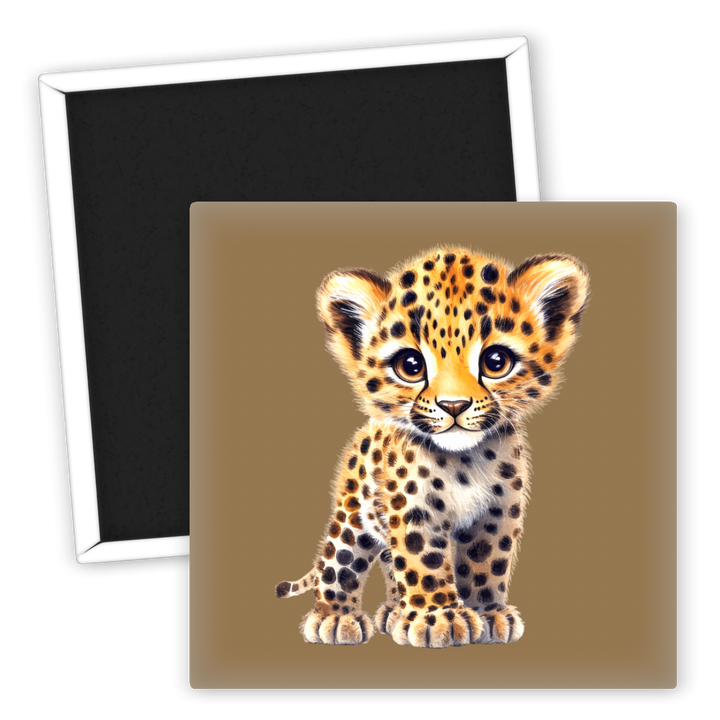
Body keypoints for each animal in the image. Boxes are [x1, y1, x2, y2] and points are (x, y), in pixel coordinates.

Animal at [274, 247, 590, 648]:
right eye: (410, 365)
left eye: (496, 362)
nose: (453, 405)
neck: (464, 460)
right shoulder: (413, 508)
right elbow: (421, 559)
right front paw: (438, 619)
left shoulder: (498, 512)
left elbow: (488, 561)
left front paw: (488, 613)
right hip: (353, 513)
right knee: (338, 560)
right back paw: (336, 618)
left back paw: (394, 612)